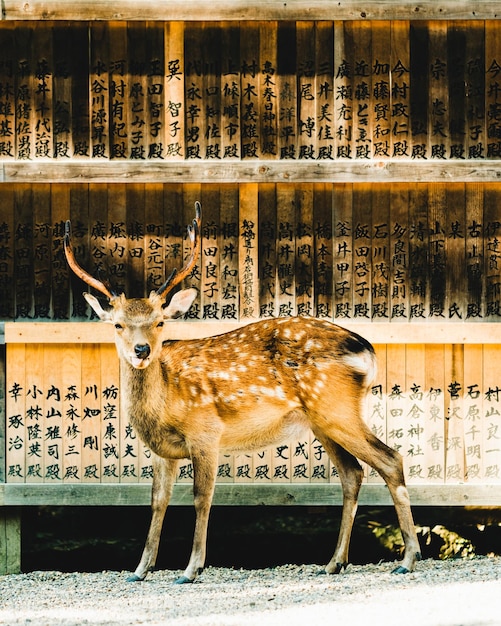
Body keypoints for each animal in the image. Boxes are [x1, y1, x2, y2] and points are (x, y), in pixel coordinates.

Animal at [64, 202, 420, 584]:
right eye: (118, 324)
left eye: (160, 321)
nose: (142, 350)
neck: (165, 404)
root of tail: (367, 349)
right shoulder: (162, 450)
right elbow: (158, 500)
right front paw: (139, 570)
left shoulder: (205, 432)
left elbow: (201, 496)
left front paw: (191, 569)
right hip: (323, 421)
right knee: (353, 473)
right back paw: (333, 562)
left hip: (336, 408)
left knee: (391, 459)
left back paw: (407, 559)